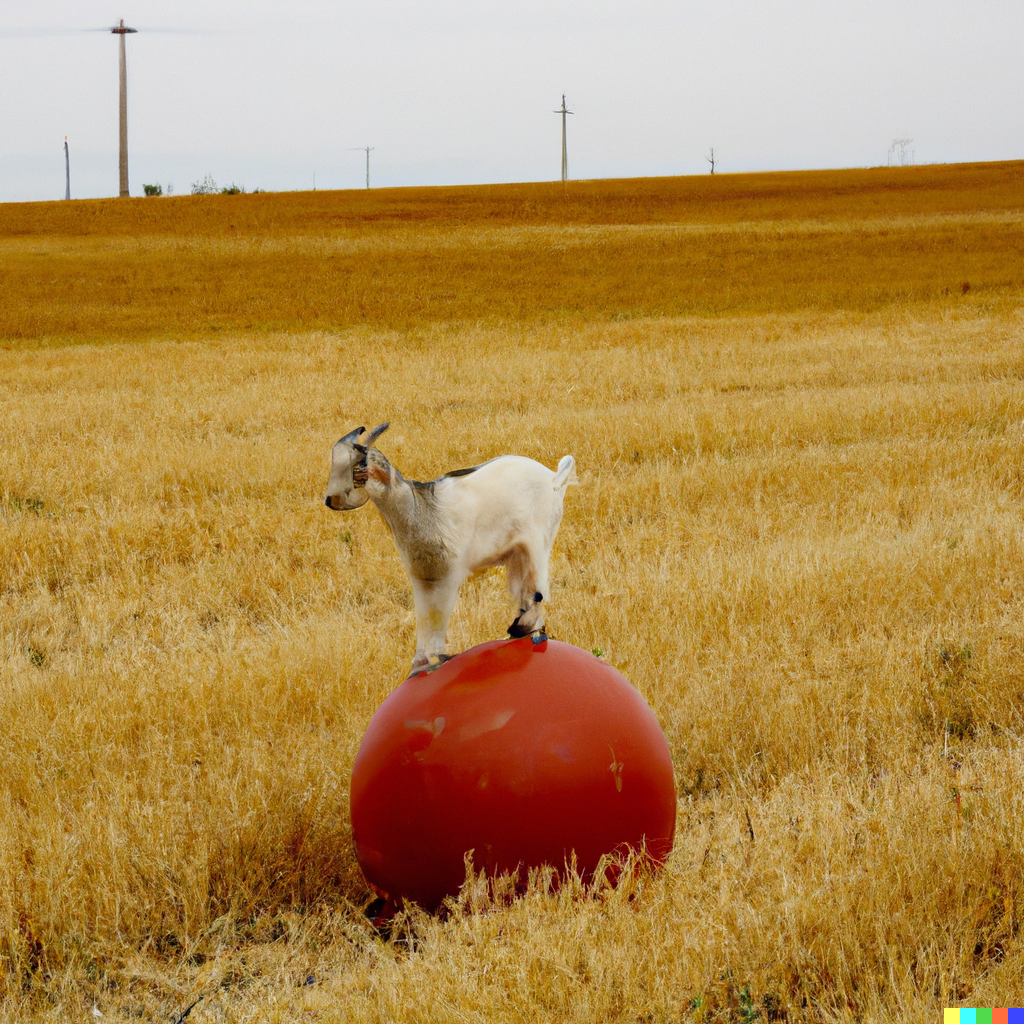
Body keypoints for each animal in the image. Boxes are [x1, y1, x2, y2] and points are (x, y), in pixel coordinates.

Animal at [324, 423, 577, 673]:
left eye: (359, 467)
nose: (330, 500)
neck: (419, 507)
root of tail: (555, 479)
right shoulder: (422, 579)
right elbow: (424, 618)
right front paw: (418, 665)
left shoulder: (448, 576)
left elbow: (439, 616)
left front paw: (439, 657)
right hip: (519, 553)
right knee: (524, 589)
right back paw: (519, 629)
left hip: (538, 543)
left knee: (538, 589)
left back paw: (529, 630)